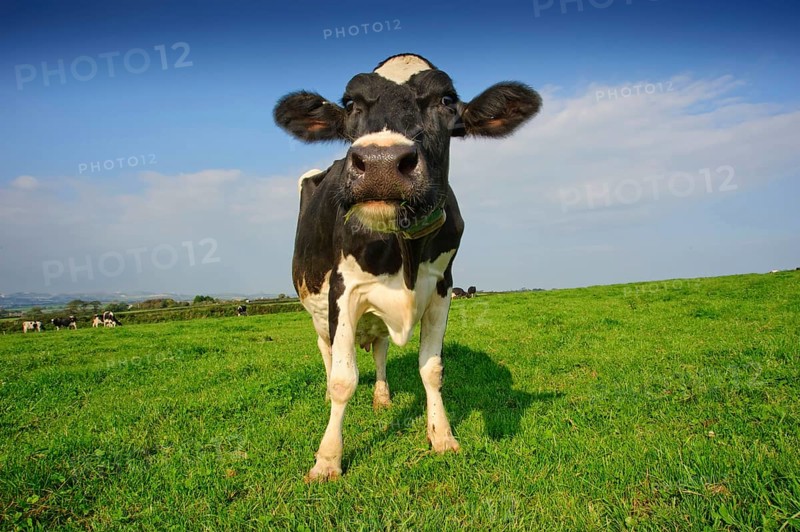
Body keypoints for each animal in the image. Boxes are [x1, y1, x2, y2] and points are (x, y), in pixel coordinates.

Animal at [274, 53, 541, 480]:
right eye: (350, 103)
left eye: (447, 100)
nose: (381, 164)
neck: (404, 254)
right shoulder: (344, 291)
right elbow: (343, 380)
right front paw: (328, 459)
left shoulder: (442, 286)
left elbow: (431, 369)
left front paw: (442, 436)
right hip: (318, 309)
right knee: (328, 352)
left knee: (381, 348)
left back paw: (382, 397)